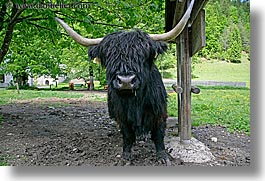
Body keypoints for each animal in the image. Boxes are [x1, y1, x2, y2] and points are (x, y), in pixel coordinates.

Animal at [54, 0, 193, 165]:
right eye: (109, 56)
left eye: (143, 54)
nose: (126, 81)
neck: (135, 102)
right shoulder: (122, 117)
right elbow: (127, 136)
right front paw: (126, 156)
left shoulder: (159, 113)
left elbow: (158, 135)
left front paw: (163, 157)